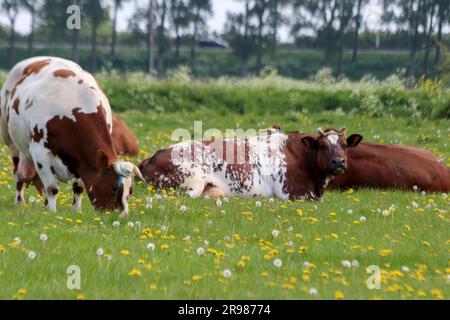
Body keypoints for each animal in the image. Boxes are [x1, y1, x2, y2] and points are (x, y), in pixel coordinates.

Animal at [139, 127, 364, 200]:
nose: (339, 161)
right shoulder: (291, 192)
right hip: (191, 184)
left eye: (345, 145)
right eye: (323, 146)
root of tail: (152, 156)